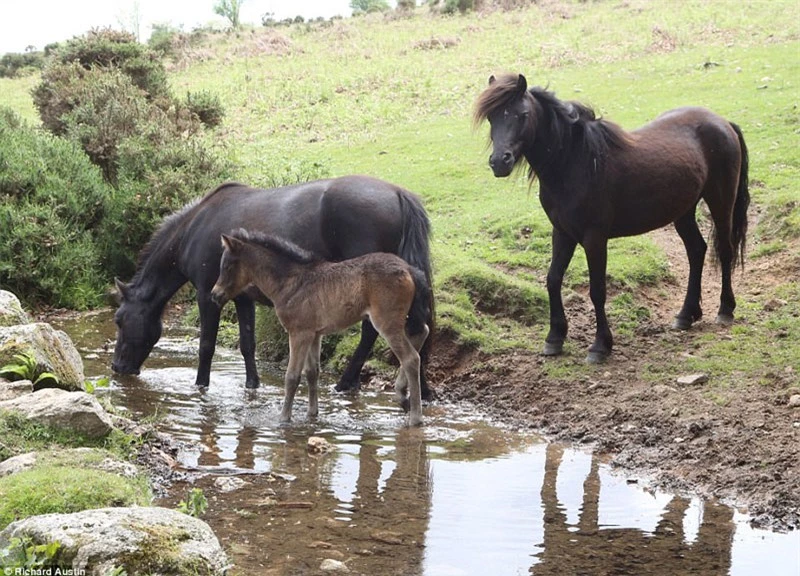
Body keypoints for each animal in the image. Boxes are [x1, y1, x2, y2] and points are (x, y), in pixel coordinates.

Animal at [110, 174, 434, 396]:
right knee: (415, 328)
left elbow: (206, 345)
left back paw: (345, 383)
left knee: (372, 331)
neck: (194, 229)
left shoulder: (207, 294)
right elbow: (247, 344)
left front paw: (201, 385)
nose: (117, 368)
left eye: (119, 320)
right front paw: (252, 384)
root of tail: (398, 193)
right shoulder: (241, 297)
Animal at [209, 232, 428, 426]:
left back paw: (415, 416)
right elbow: (312, 372)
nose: (214, 295)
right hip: (402, 318)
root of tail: (409, 268)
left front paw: (284, 419)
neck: (291, 282)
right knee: (422, 332)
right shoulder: (314, 334)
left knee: (411, 358)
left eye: (227, 266)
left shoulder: (299, 333)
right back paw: (402, 397)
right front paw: (312, 414)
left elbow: (292, 376)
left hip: (386, 322)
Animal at [472, 74, 748, 362]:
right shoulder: (562, 232)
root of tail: (723, 122)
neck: (574, 163)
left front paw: (600, 345)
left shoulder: (594, 238)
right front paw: (554, 338)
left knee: (724, 250)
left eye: (522, 114)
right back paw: (686, 315)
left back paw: (725, 310)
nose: (499, 162)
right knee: (696, 250)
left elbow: (597, 290)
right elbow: (553, 279)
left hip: (721, 203)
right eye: (492, 117)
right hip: (683, 212)